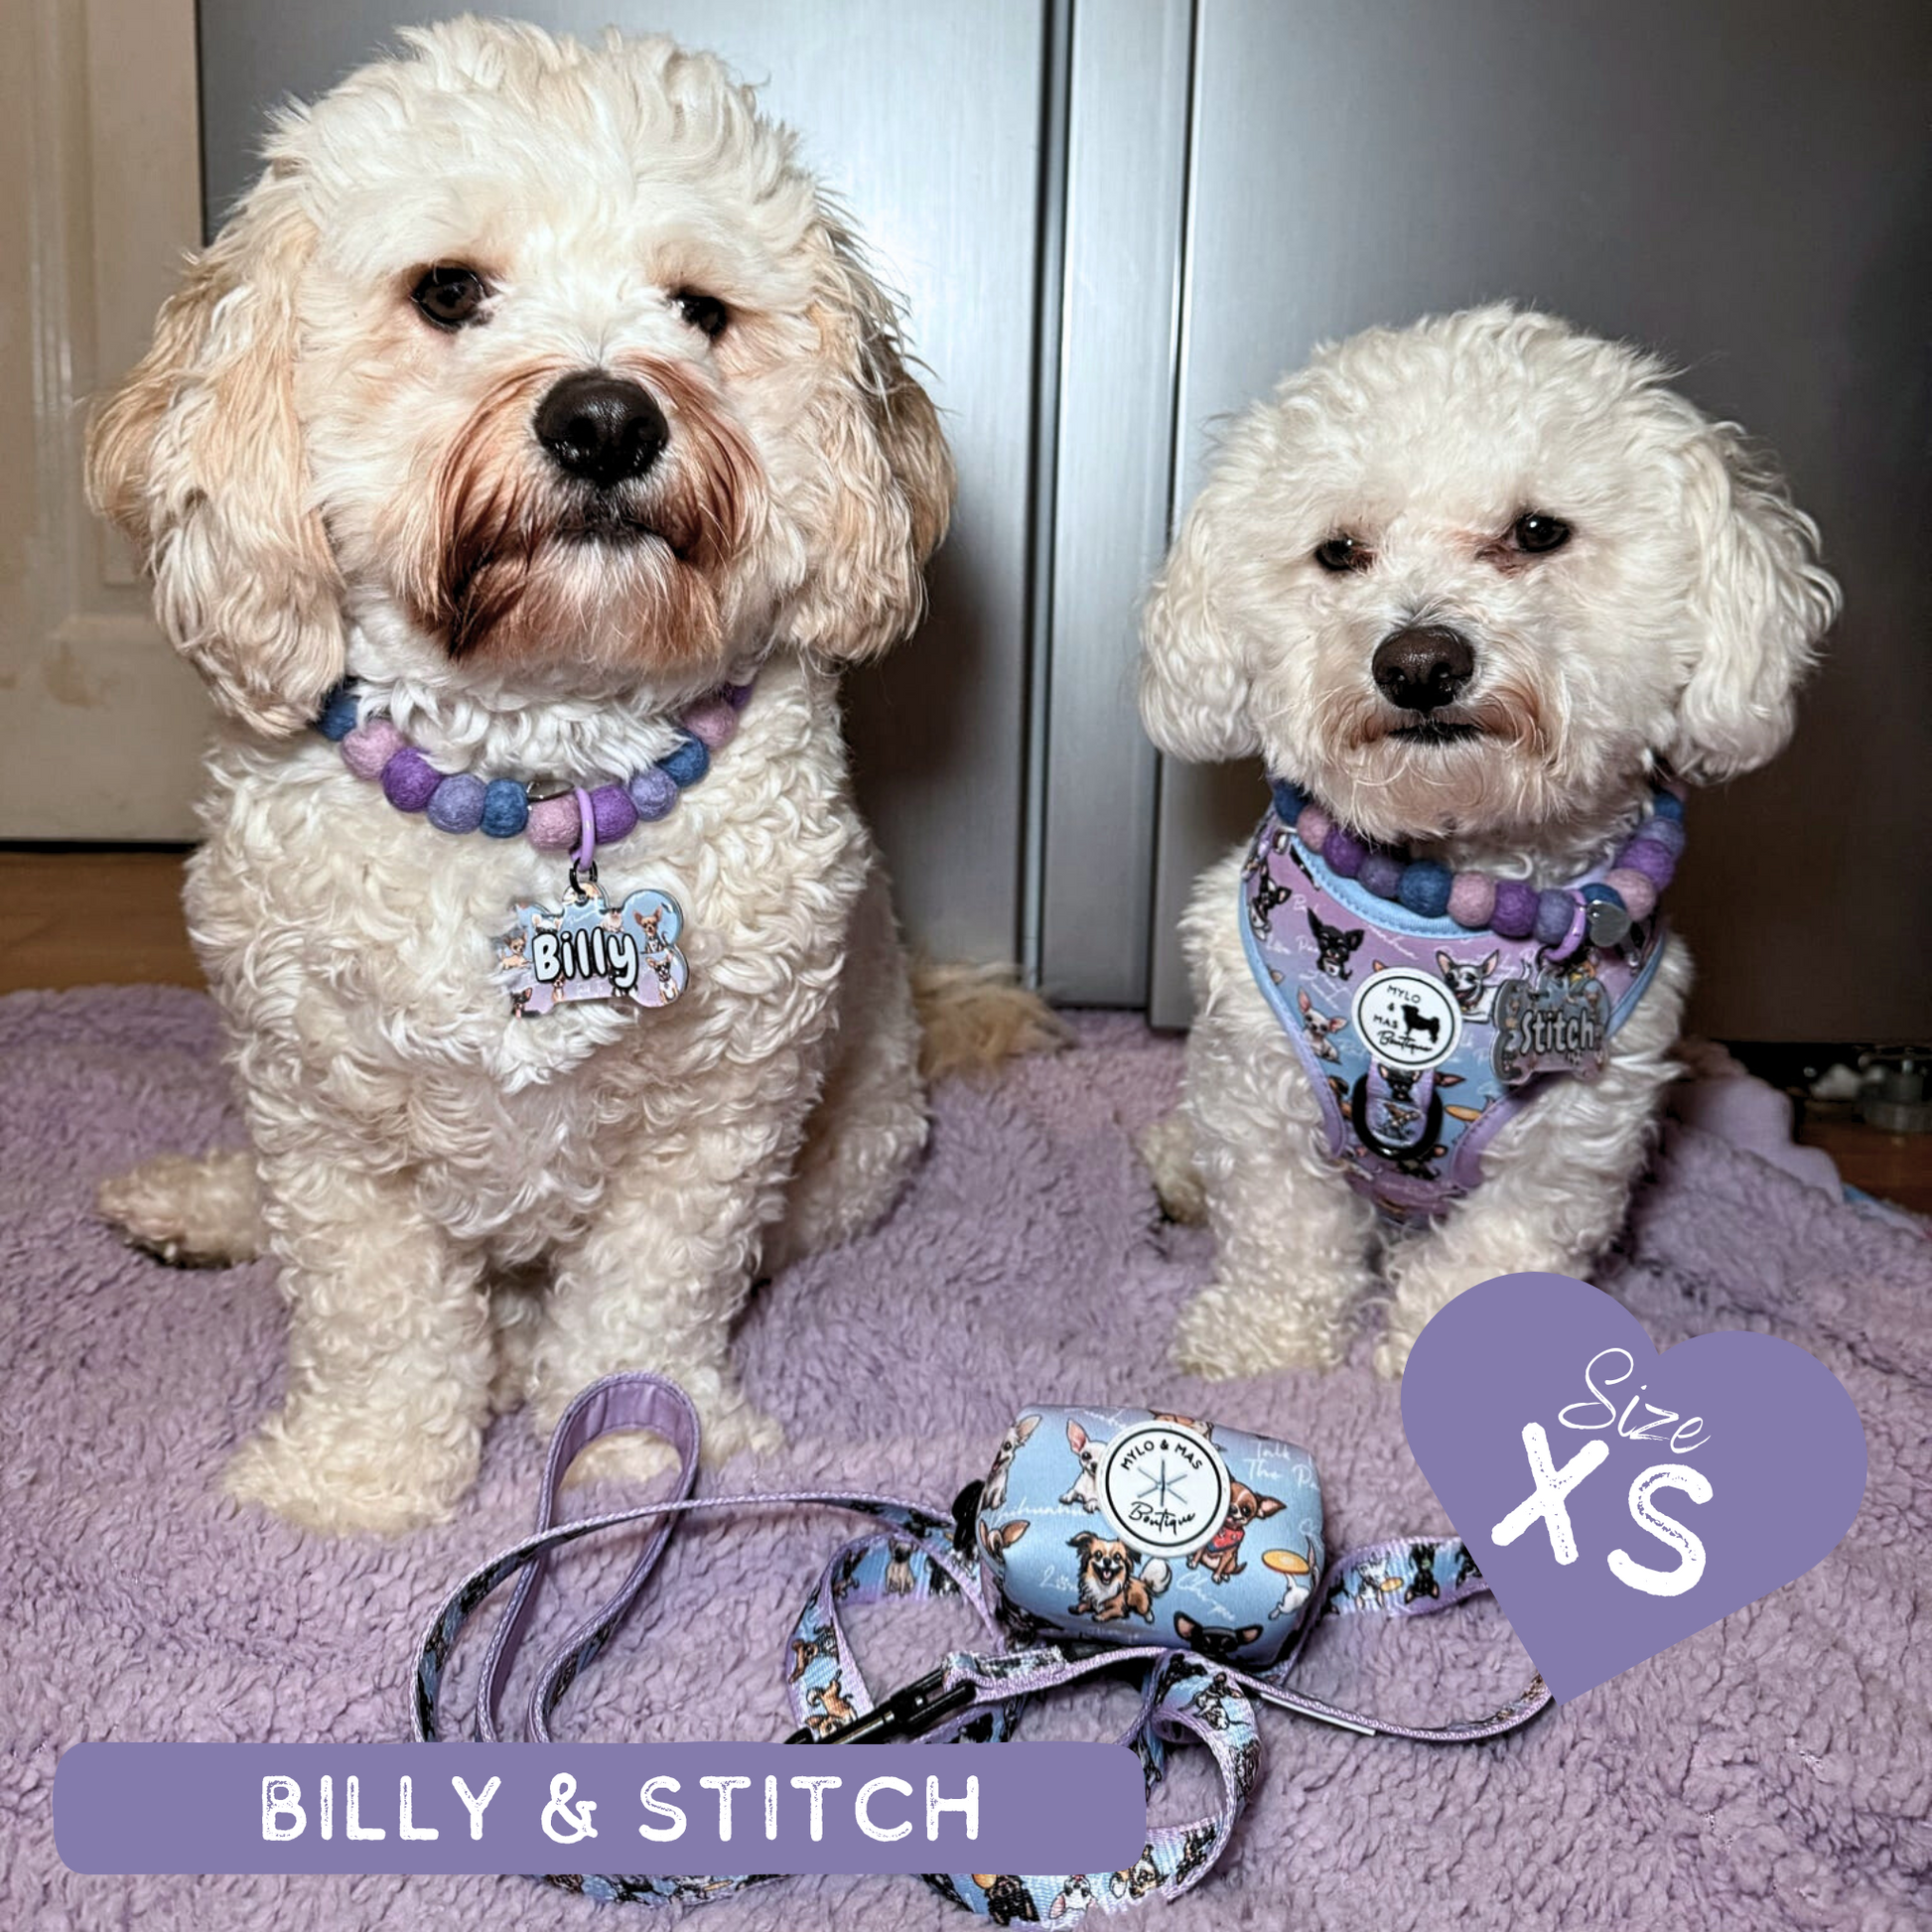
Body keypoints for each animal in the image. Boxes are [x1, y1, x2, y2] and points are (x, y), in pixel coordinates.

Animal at [84, 21, 958, 1531]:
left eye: (699, 310)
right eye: (447, 291)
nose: (606, 420)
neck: (539, 768)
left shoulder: (720, 1118)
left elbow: (644, 1297)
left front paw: (625, 1442)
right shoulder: (324, 1112)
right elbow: (373, 1308)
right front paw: (359, 1474)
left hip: (859, 1144)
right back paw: (204, 1207)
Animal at [1138, 306, 1837, 1379]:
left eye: (1537, 532)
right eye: (1338, 551)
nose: (1418, 662)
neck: (1453, 890)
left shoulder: (1574, 1134)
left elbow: (1498, 1249)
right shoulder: (1256, 1086)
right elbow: (1283, 1227)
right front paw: (1265, 1338)